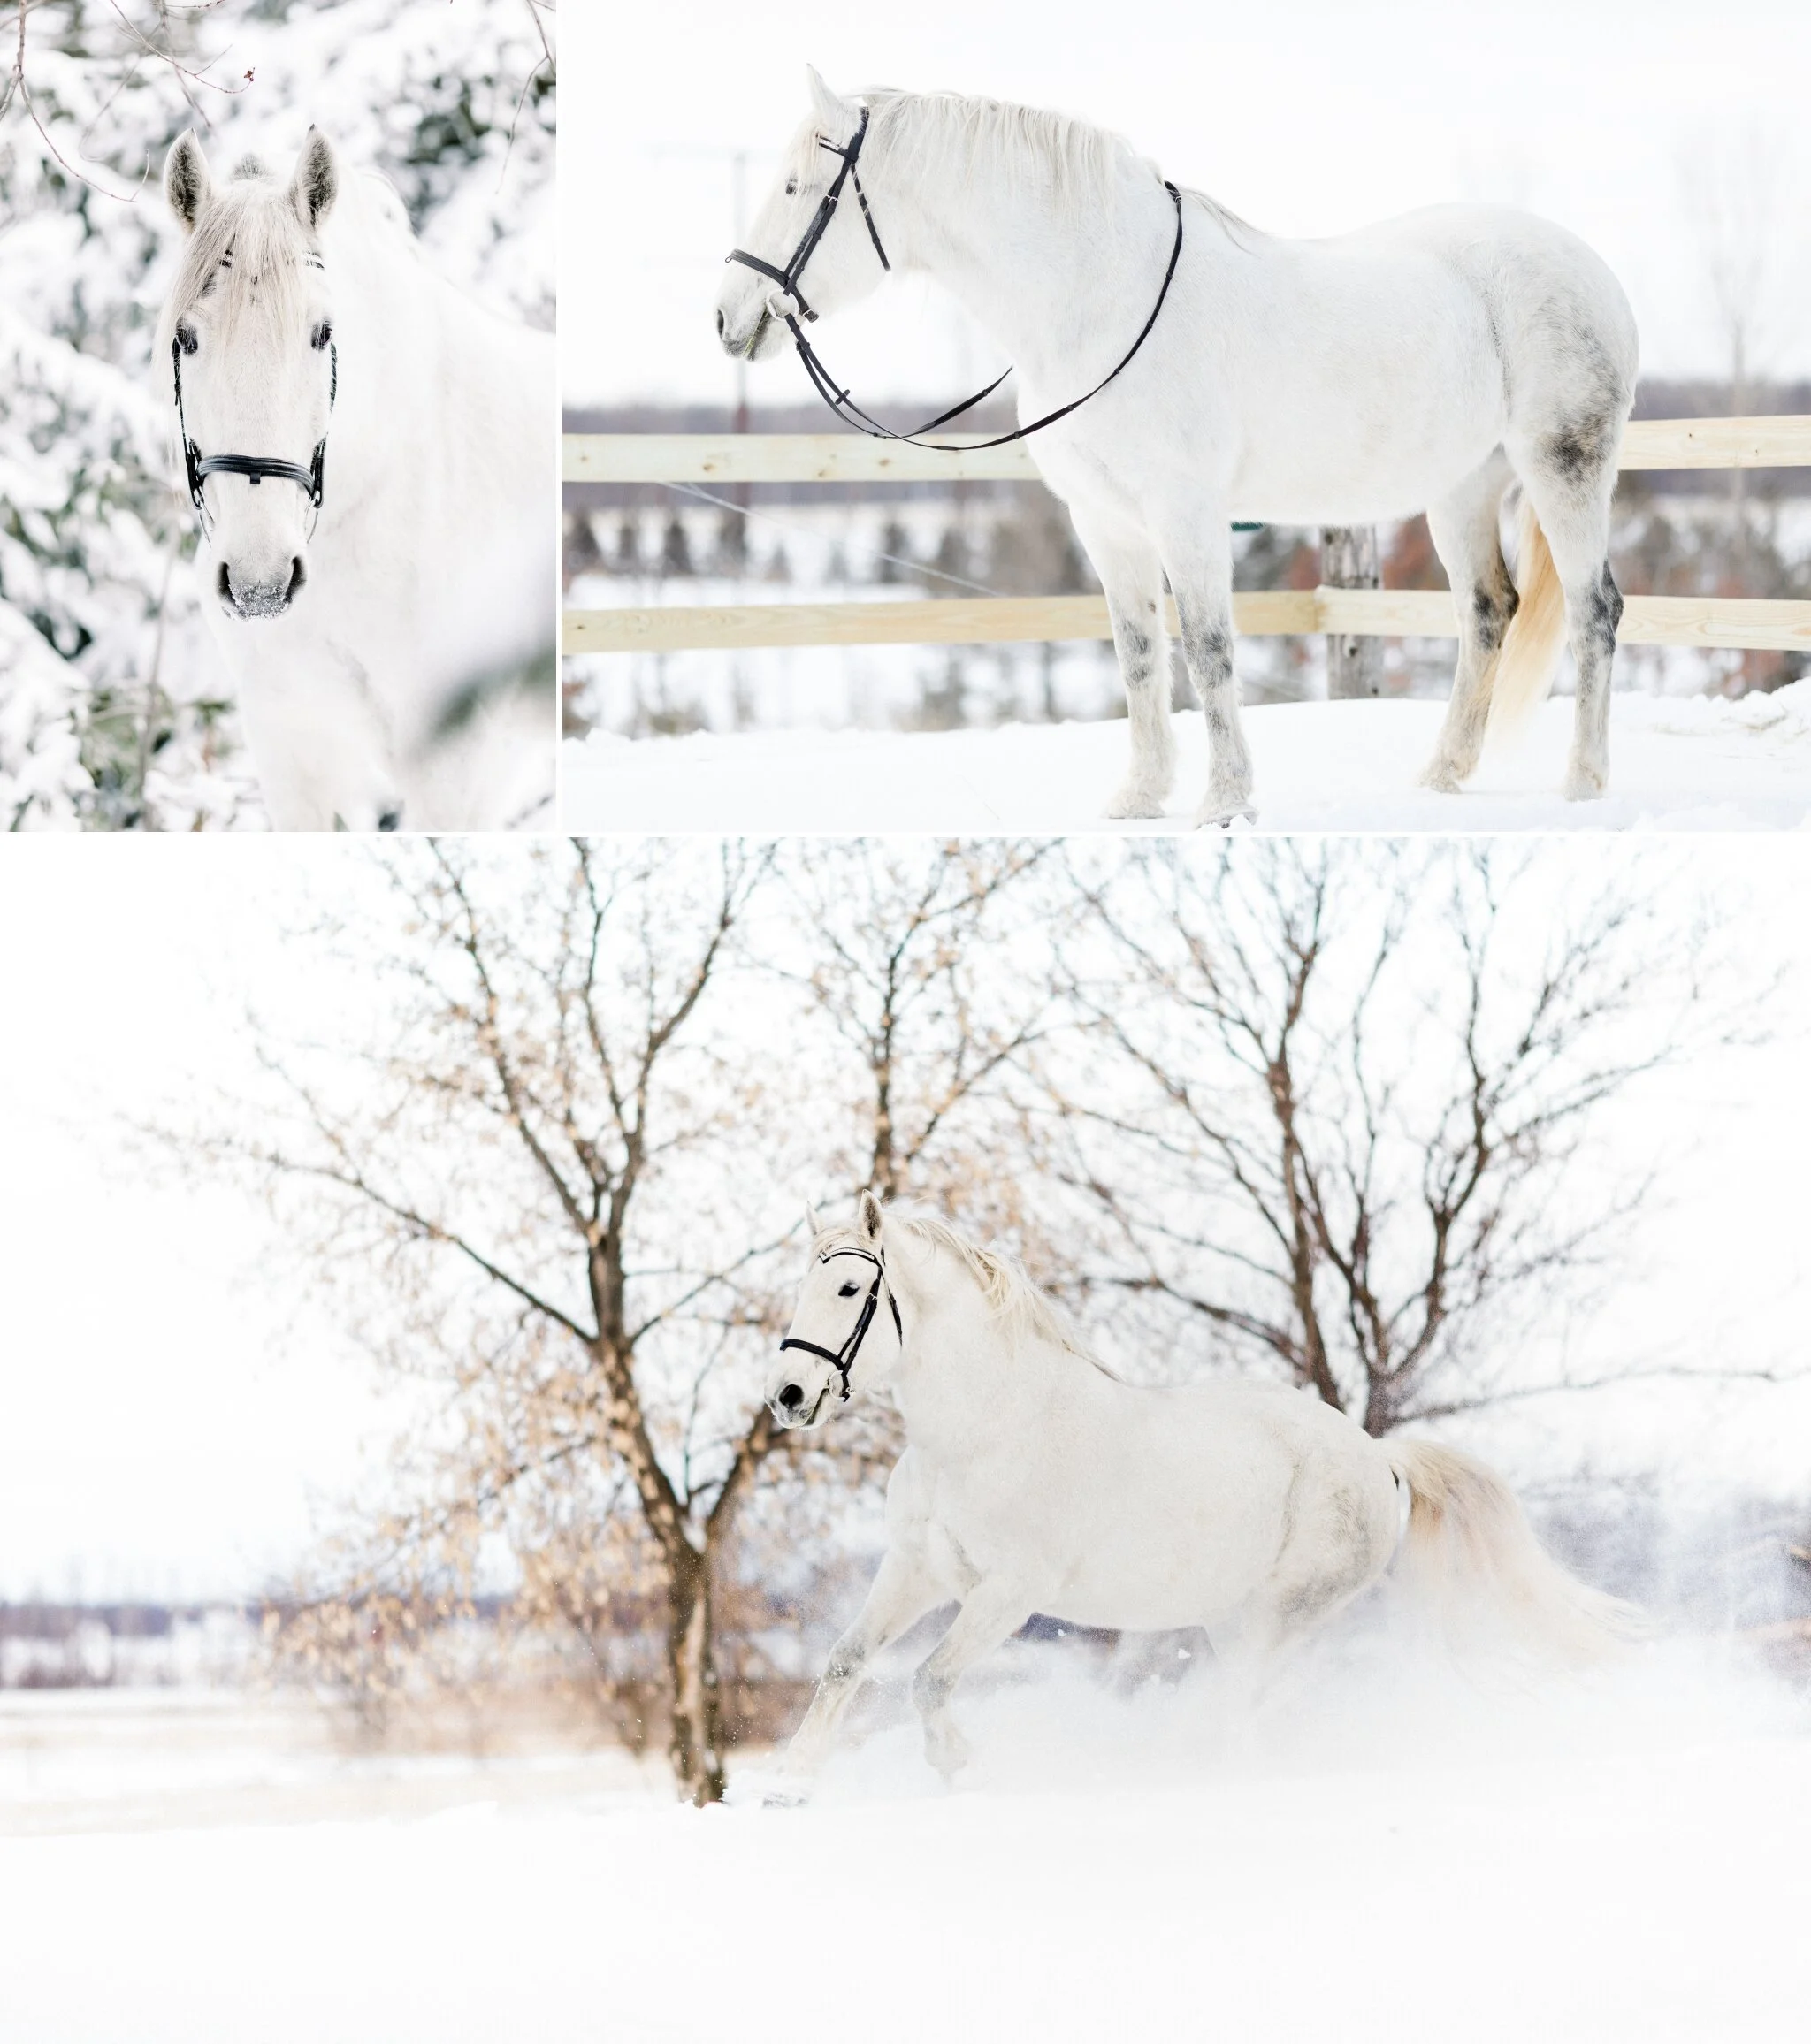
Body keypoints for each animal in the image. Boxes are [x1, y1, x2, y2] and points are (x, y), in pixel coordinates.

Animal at [718, 74, 1640, 826]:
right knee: (1487, 613)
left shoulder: (1186, 514)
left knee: (1594, 610)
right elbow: (1138, 655)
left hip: (1563, 467)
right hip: (1460, 488)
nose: (728, 317)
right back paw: (1442, 775)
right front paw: (1139, 797)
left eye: (797, 187)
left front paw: (1224, 804)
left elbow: (1207, 648)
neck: (1102, 302)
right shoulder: (1106, 522)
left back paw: (1585, 781)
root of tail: (1594, 270)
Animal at [765, 1194, 1632, 1793]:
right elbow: (845, 1663)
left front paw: (958, 1765)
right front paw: (790, 1785)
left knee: (1245, 1705)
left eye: (850, 1288)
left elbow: (931, 1678)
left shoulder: (1010, 1591)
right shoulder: (917, 1571)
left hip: (1282, 1615)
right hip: (1234, 1619)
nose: (787, 1395)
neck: (982, 1429)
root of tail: (1376, 1456)